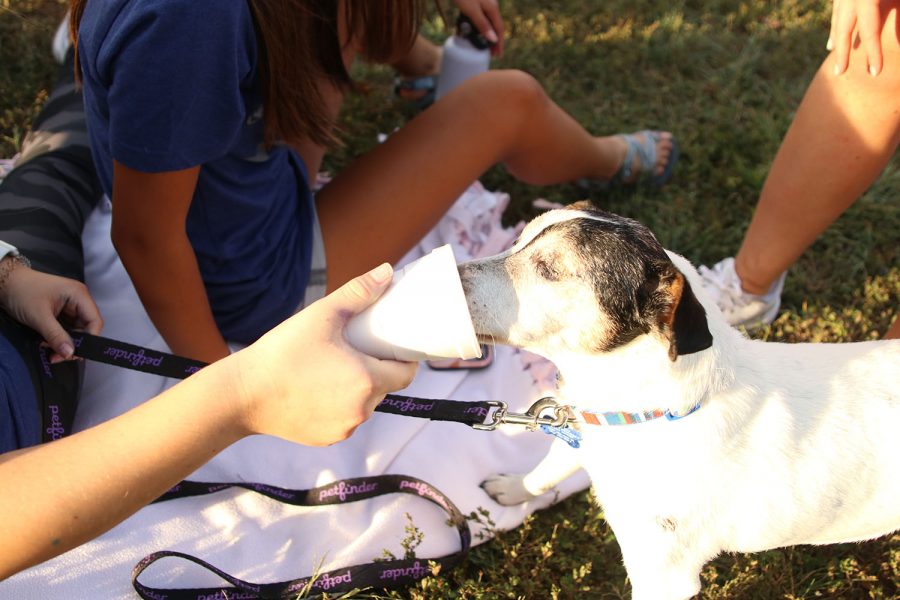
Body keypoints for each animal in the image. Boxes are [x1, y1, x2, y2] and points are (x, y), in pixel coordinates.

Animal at [460, 203, 900, 600]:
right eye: (518, 239)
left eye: (549, 269)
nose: (446, 276)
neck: (650, 414)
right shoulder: (582, 434)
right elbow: (544, 472)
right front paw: (512, 489)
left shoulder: (663, 576)